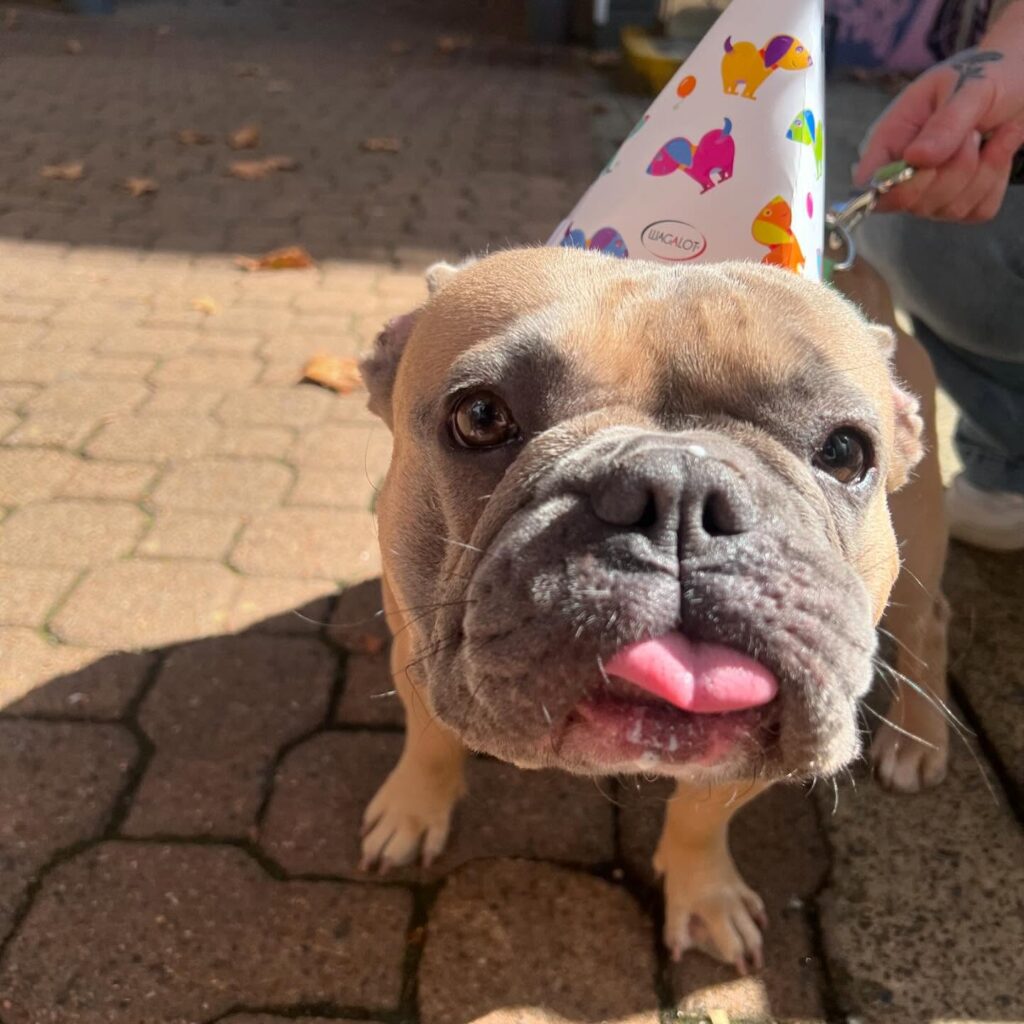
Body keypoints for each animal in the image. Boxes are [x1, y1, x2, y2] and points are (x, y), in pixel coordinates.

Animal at [357, 247, 926, 971]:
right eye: (480, 417)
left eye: (846, 451)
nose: (681, 487)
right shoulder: (412, 643)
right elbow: (429, 738)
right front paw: (412, 810)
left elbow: (703, 815)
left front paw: (704, 895)